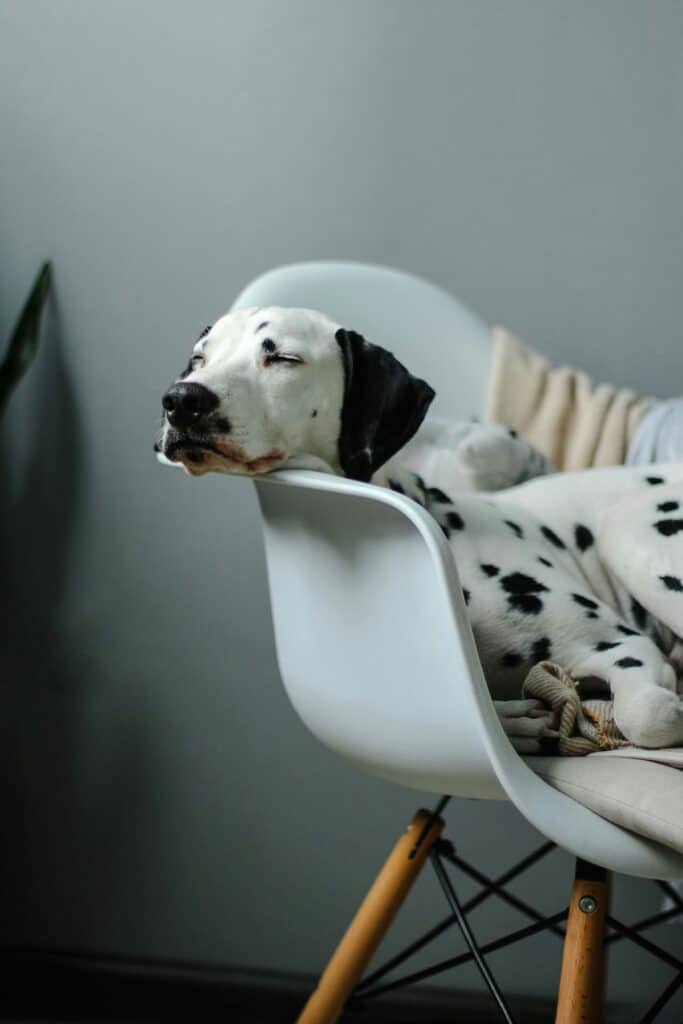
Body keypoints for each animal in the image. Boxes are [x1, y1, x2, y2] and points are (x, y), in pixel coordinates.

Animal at [156, 303, 683, 753]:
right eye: (199, 358)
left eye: (283, 357)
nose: (182, 399)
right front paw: (514, 721)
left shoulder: (622, 644)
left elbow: (649, 715)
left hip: (628, 531)